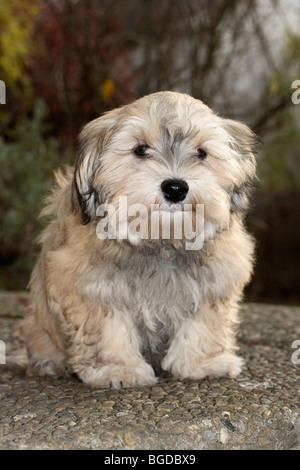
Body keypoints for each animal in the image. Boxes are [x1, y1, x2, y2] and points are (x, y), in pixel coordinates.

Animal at [21, 92, 255, 390]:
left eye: (202, 153)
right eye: (141, 150)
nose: (175, 188)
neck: (160, 241)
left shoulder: (216, 281)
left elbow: (204, 321)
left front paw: (204, 362)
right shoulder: (91, 286)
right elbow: (108, 328)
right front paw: (116, 367)